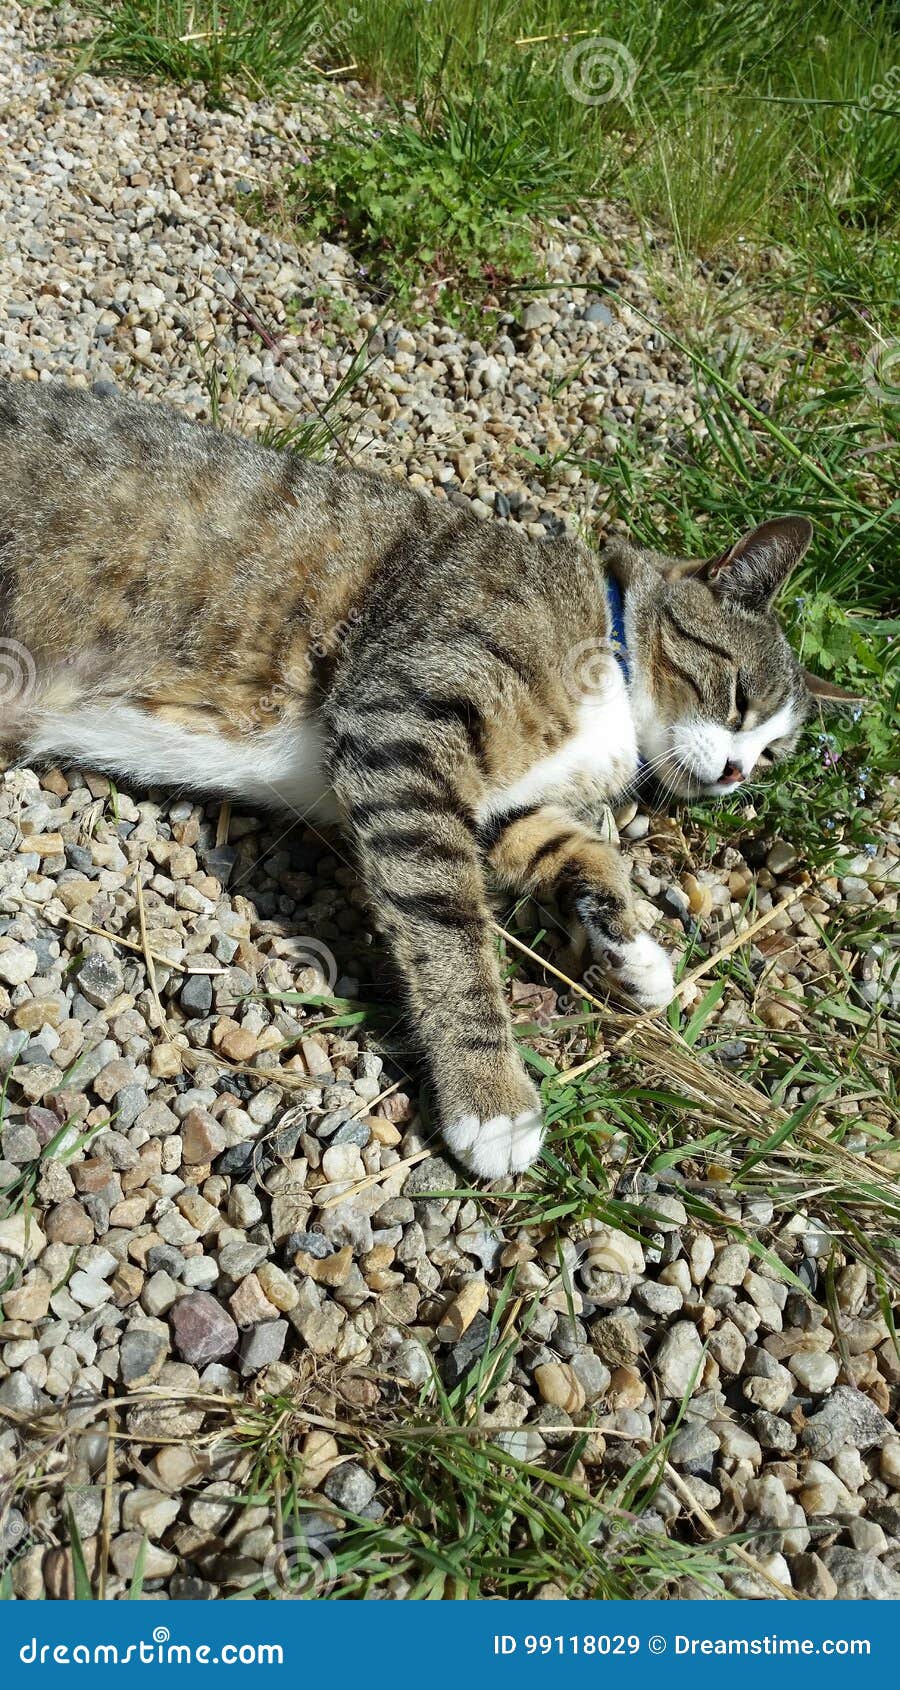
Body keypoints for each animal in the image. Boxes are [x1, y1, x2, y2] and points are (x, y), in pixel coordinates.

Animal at [0, 381, 857, 1176]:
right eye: (741, 696)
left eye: (774, 756)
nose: (738, 772)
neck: (610, 652)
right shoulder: (406, 726)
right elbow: (451, 927)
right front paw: (493, 1099)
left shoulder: (505, 806)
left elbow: (584, 852)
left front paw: (634, 950)